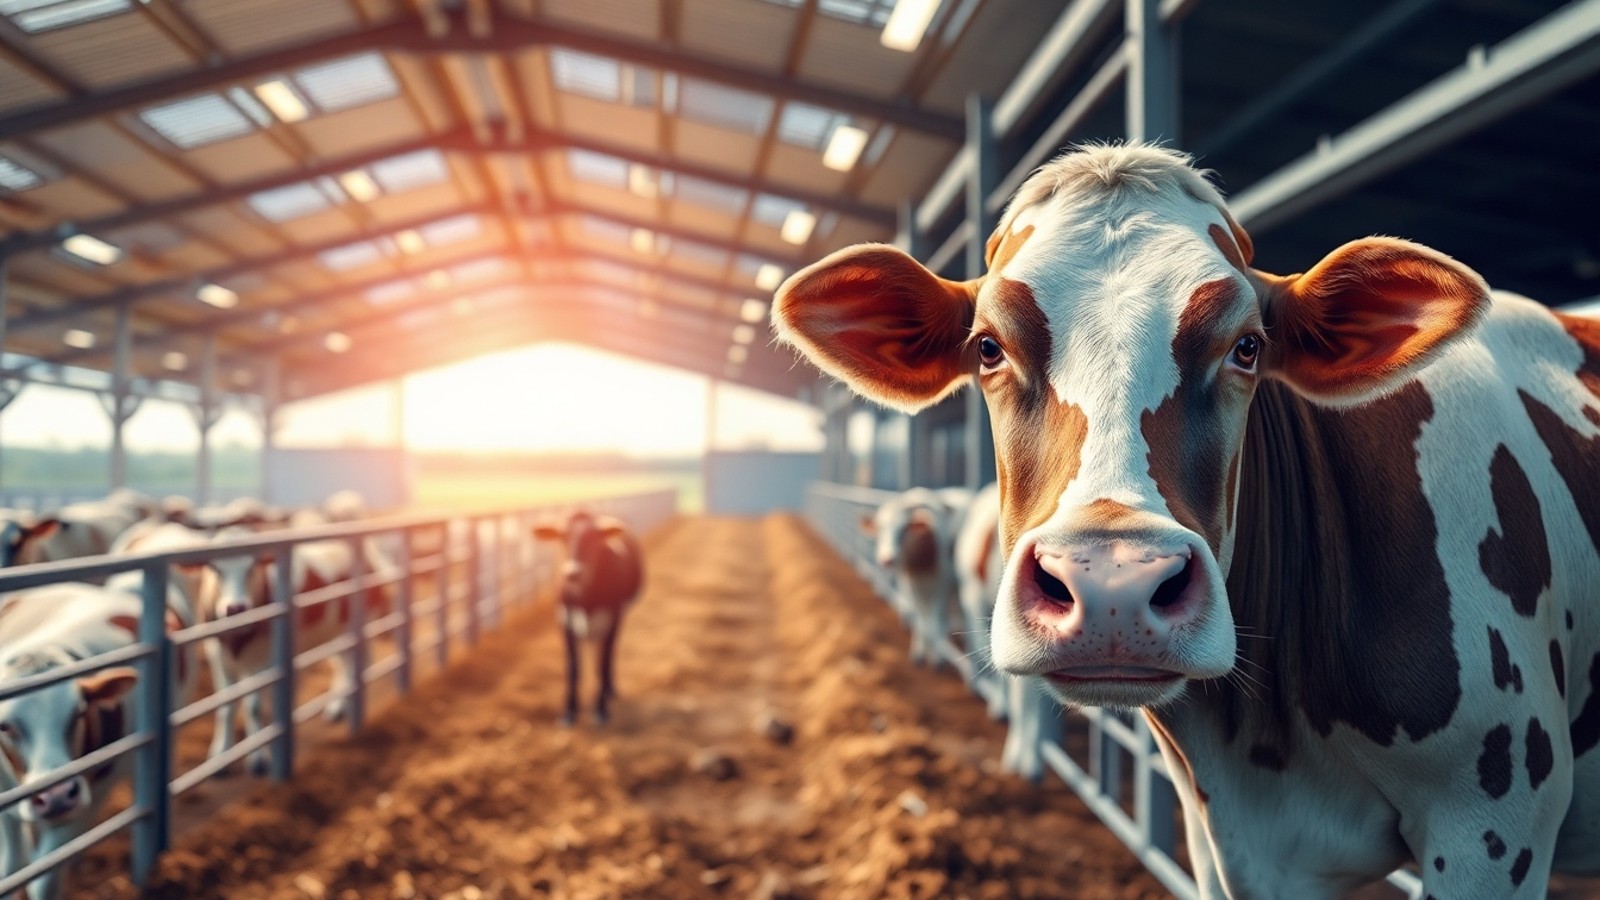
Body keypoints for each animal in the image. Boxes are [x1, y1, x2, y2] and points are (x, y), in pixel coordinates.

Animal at [0, 581, 197, 900]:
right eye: (4, 726)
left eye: (80, 712)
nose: (56, 796)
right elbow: (12, 868)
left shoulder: (85, 802)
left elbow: (45, 881)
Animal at [533, 511, 643, 726]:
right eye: (563, 536)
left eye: (594, 538)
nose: (572, 573)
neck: (586, 597)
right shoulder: (564, 620)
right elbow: (573, 668)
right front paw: (569, 711)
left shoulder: (611, 618)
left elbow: (601, 664)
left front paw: (601, 710)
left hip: (620, 616)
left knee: (609, 654)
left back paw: (610, 689)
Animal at [863, 488, 969, 666]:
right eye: (879, 529)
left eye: (903, 530)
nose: (887, 560)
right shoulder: (911, 585)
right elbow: (921, 620)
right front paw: (919, 652)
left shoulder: (941, 585)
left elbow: (934, 622)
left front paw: (936, 658)